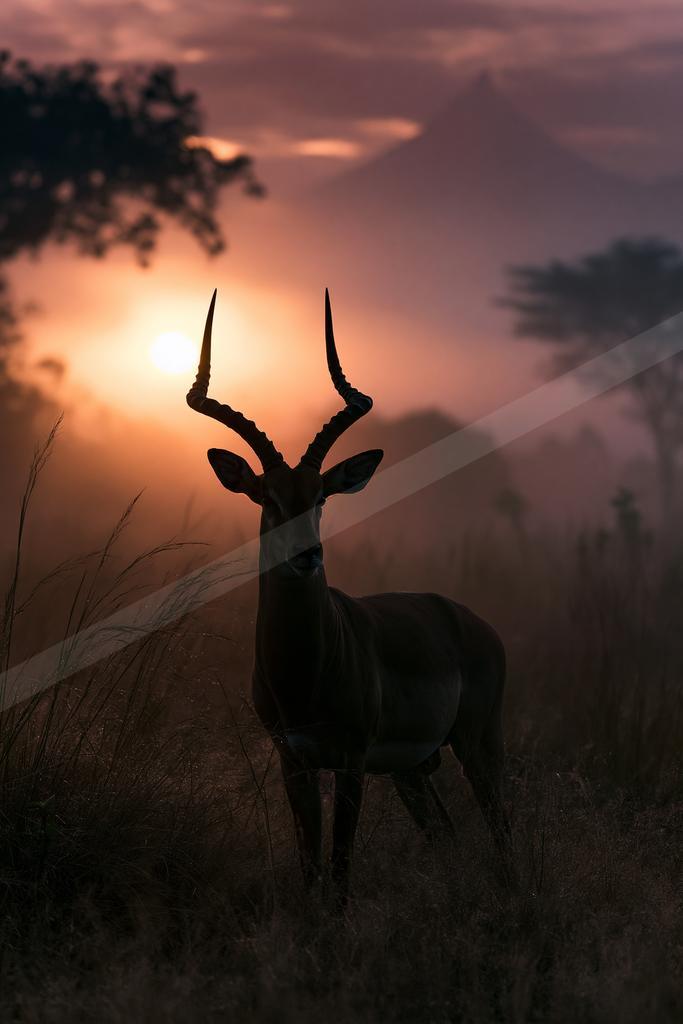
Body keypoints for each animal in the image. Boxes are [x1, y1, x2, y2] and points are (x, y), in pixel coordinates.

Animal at [187, 290, 511, 901]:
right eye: (268, 498)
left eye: (321, 496)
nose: (307, 557)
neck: (303, 671)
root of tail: (474, 623)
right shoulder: (294, 761)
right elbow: (310, 867)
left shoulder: (352, 759)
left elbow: (338, 871)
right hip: (413, 770)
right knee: (448, 834)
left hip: (477, 745)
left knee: (504, 831)